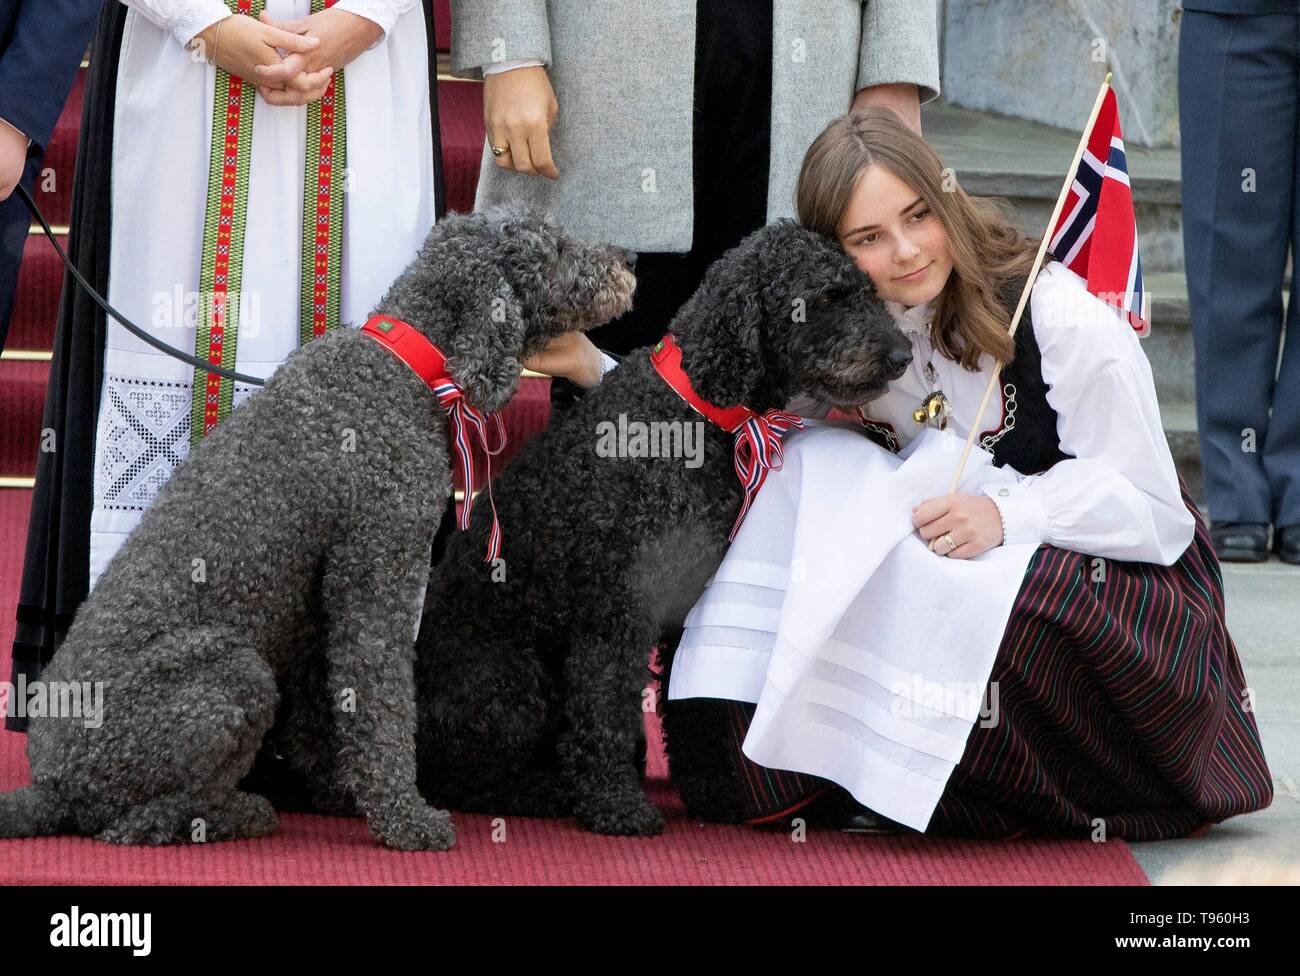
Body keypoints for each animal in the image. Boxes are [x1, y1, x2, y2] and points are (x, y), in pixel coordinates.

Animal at [0, 210, 634, 852]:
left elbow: (327, 706)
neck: (405, 368)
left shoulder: (324, 597)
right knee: (132, 821)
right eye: (556, 247)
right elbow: (382, 704)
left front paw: (336, 790)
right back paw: (233, 813)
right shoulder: (377, 573)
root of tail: (50, 782)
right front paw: (404, 816)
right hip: (231, 674)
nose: (628, 258)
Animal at [410, 223, 909, 842]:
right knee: (457, 779)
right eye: (823, 298)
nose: (902, 355)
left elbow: (690, 708)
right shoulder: (616, 613)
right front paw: (615, 805)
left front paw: (712, 792)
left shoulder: (688, 602)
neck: (693, 412)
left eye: (867, 293)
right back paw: (541, 791)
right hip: (513, 679)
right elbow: (605, 712)